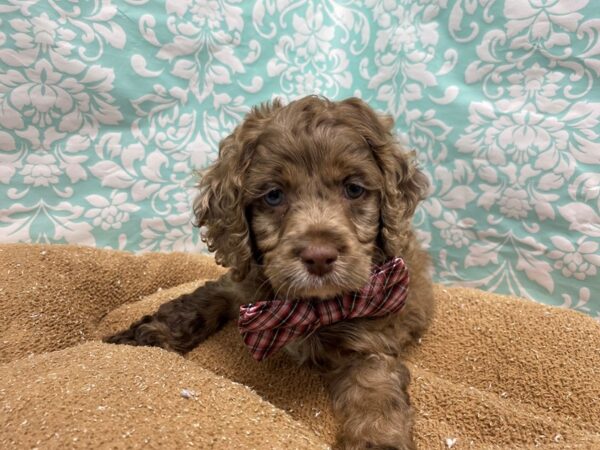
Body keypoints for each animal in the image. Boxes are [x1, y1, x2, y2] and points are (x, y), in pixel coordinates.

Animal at [105, 96, 434, 450]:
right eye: (274, 195)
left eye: (354, 189)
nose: (319, 257)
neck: (305, 308)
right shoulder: (238, 284)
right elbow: (196, 303)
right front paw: (147, 334)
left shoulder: (370, 340)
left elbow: (375, 390)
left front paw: (378, 439)